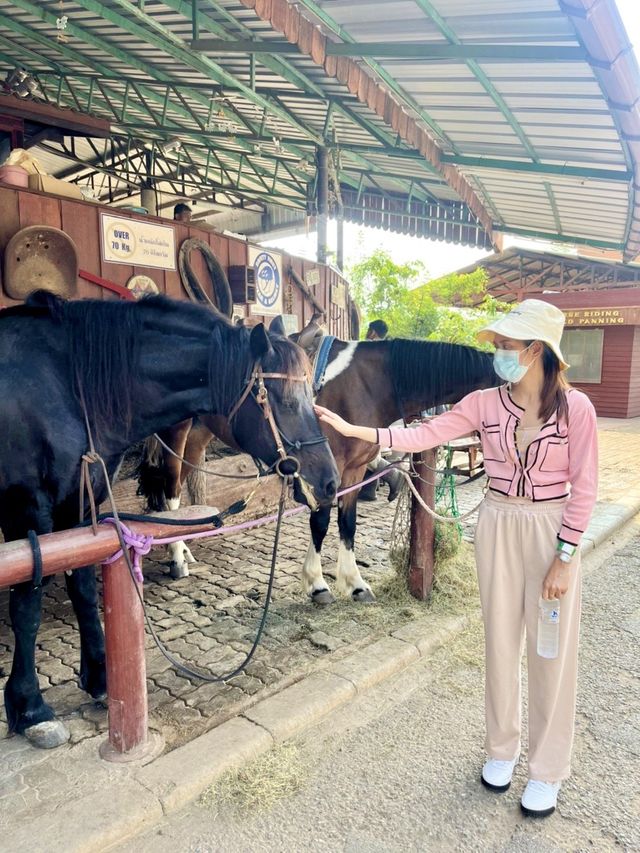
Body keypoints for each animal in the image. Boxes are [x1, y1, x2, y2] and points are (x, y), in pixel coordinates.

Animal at [0, 292, 340, 744]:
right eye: (283, 399)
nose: (330, 482)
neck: (65, 384)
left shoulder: (82, 502)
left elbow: (84, 589)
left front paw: (101, 677)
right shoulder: (26, 508)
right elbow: (28, 604)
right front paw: (30, 707)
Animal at [138, 318, 498, 600]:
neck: (368, 384)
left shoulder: (353, 470)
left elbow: (347, 522)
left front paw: (354, 583)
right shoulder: (326, 469)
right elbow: (321, 520)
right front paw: (317, 583)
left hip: (201, 431)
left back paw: (183, 549)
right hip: (177, 429)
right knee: (171, 488)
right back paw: (177, 558)